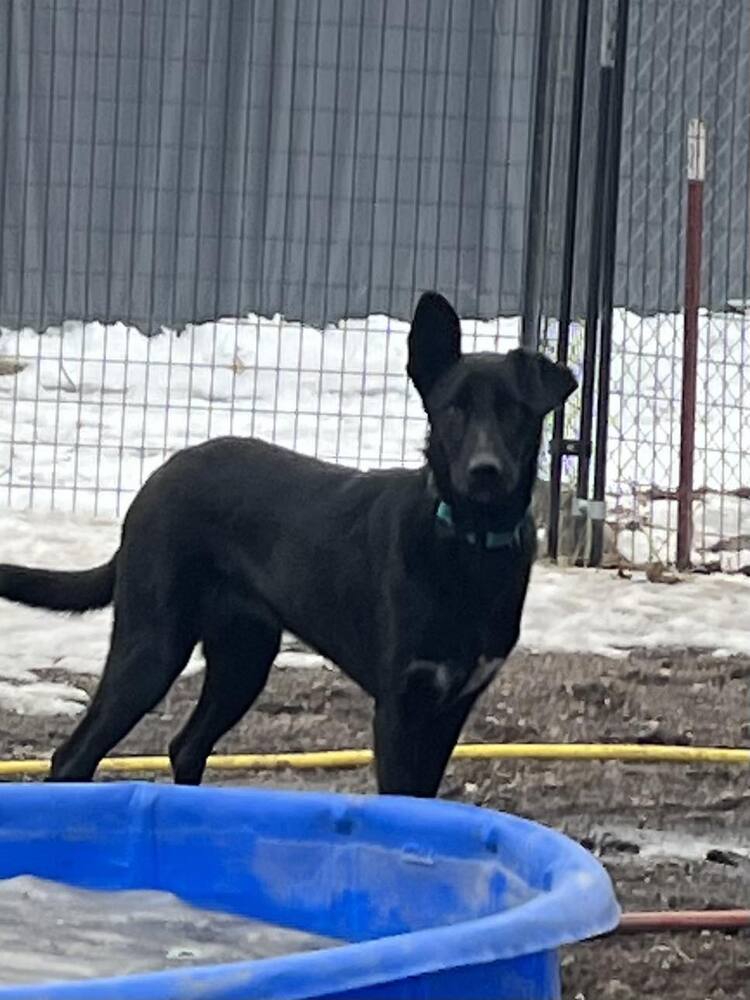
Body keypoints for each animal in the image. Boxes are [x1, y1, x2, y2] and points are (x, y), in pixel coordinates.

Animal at [0, 292, 580, 796]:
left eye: (515, 411)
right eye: (452, 410)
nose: (485, 471)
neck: (468, 541)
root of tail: (156, 481)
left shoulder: (450, 707)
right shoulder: (400, 707)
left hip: (244, 657)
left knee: (186, 745)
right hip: (152, 647)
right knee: (73, 755)